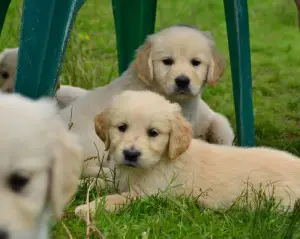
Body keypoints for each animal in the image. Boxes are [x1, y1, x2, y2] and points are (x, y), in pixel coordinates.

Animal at [75, 89, 300, 217]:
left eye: (153, 133)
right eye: (122, 127)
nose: (131, 154)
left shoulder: (150, 194)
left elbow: (117, 198)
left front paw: (88, 208)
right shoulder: (119, 179)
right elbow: (100, 181)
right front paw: (80, 183)